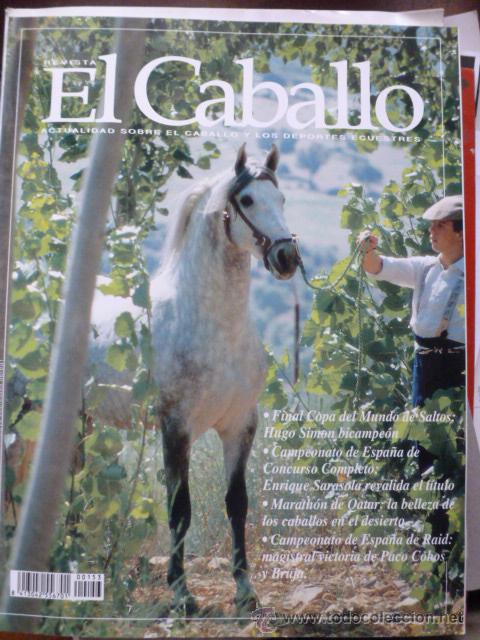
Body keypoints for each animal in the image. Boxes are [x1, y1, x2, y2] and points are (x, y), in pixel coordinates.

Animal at [90, 143, 299, 615]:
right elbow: (179, 508)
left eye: (282, 199)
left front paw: (245, 590)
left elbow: (237, 504)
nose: (286, 259)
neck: (214, 325)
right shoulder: (176, 428)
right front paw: (182, 593)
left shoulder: (240, 426)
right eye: (247, 200)